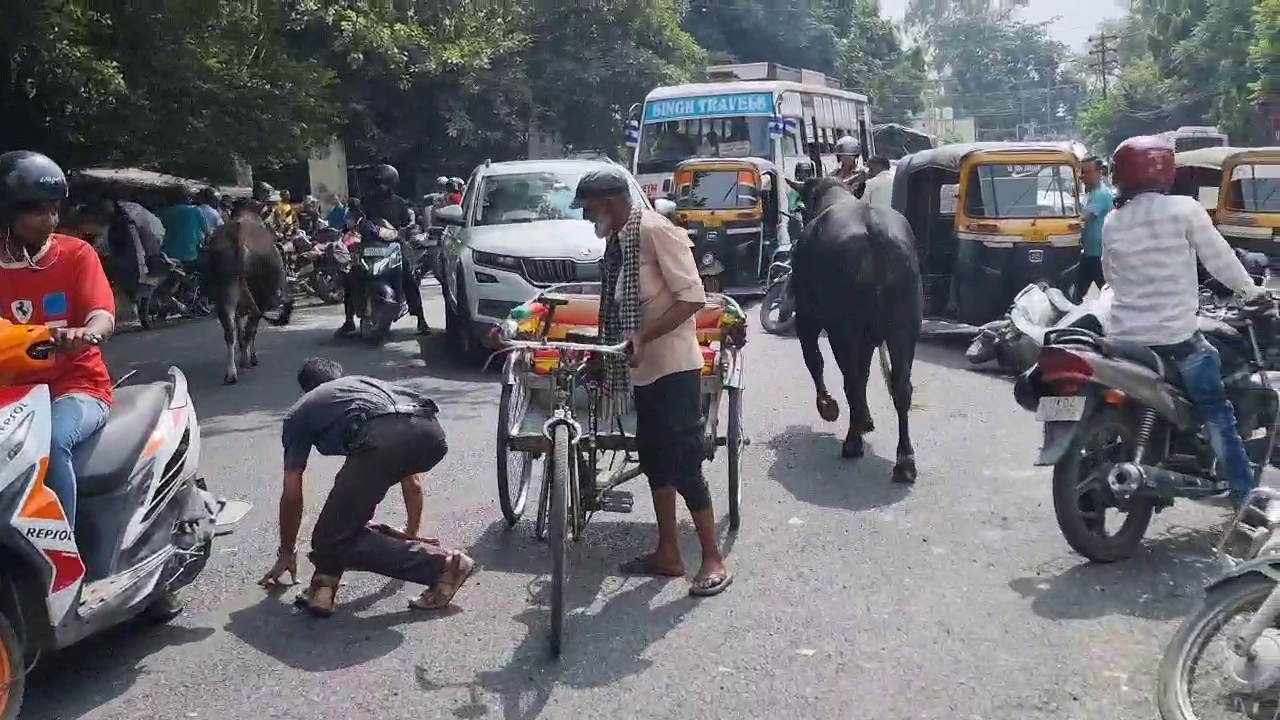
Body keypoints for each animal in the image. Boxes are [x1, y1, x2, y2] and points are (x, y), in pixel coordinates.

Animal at [783, 174, 926, 481]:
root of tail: (876, 233)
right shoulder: (870, 338)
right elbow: (867, 374)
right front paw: (865, 419)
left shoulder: (806, 318)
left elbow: (815, 362)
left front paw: (828, 406)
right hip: (904, 327)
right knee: (900, 386)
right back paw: (904, 460)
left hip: (843, 329)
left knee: (851, 381)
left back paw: (852, 441)